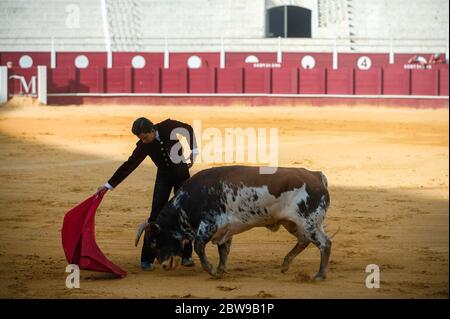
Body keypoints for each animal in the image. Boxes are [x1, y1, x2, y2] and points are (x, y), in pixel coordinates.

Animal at [135, 166, 332, 282]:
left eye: (154, 241)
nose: (163, 265)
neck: (188, 200)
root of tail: (316, 176)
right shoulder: (225, 230)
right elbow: (223, 250)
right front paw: (221, 270)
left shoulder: (209, 224)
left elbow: (199, 246)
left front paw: (213, 271)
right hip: (292, 223)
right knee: (304, 241)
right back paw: (285, 265)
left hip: (309, 222)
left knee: (324, 243)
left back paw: (319, 275)